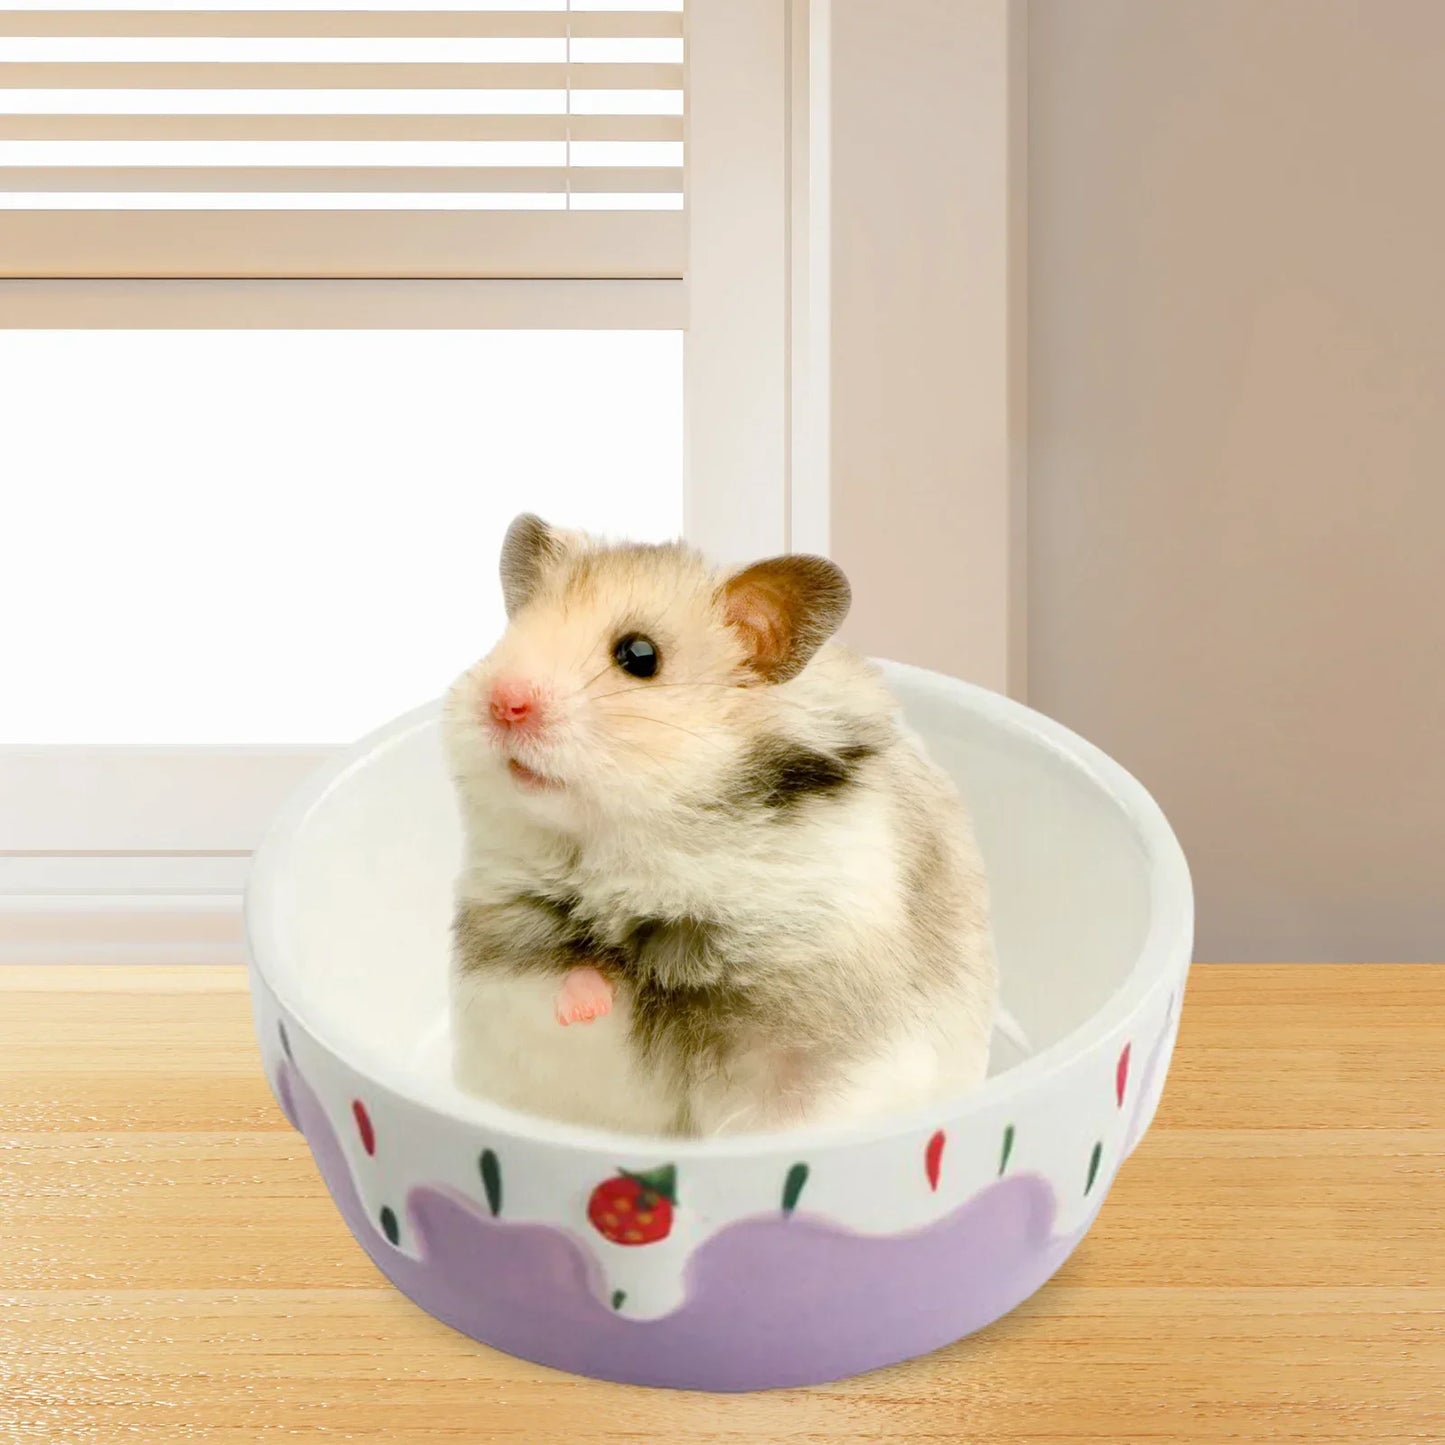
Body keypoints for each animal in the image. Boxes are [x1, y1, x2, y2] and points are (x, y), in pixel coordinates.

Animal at [443, 514, 998, 1137]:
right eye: (509, 636)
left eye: (639, 655)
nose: (503, 702)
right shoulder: (511, 945)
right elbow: (569, 975)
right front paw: (585, 1002)